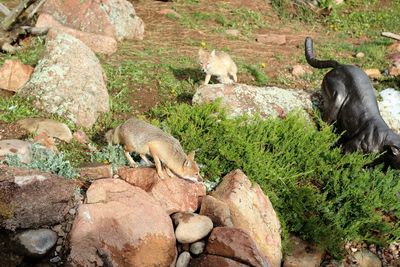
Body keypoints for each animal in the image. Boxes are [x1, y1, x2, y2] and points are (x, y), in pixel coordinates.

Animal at [306, 37, 400, 170]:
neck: (383, 142)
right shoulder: (350, 147)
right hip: (337, 98)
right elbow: (343, 161)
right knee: (324, 124)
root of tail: (340, 66)